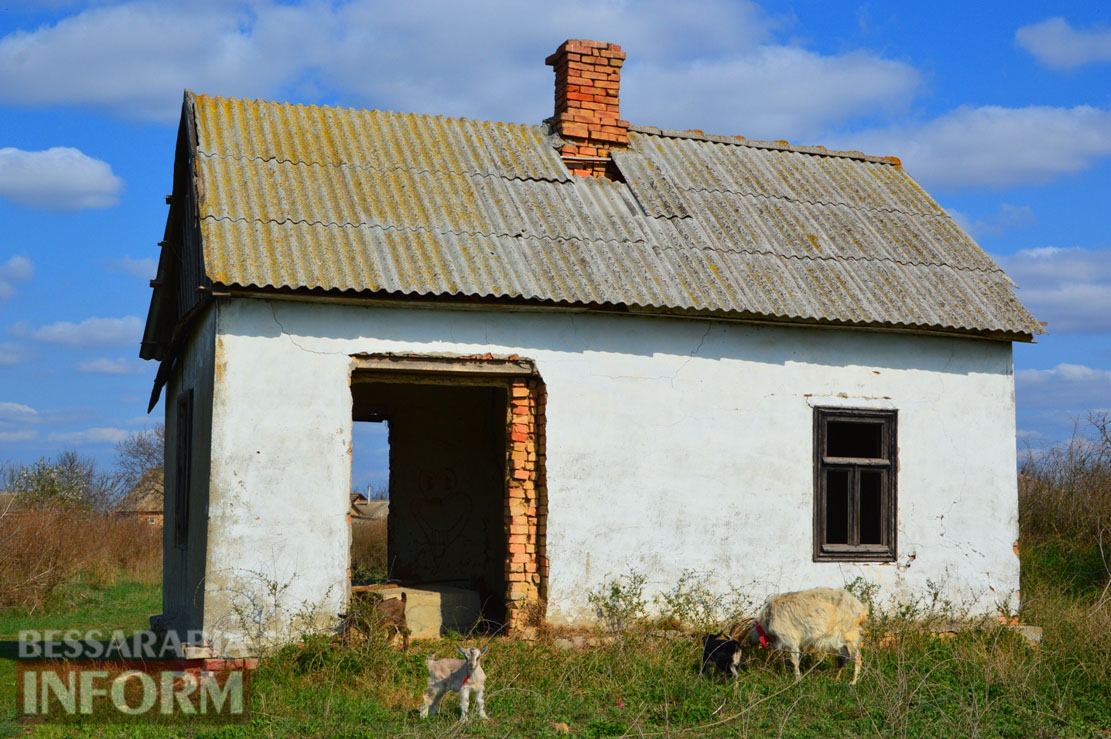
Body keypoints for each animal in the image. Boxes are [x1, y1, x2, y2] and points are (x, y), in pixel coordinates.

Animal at [742, 586, 871, 684]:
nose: (750, 641)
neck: (768, 619)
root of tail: (862, 609)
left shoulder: (791, 639)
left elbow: (794, 660)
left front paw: (797, 680)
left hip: (850, 635)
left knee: (857, 658)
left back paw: (853, 682)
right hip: (840, 639)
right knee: (843, 658)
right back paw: (834, 679)